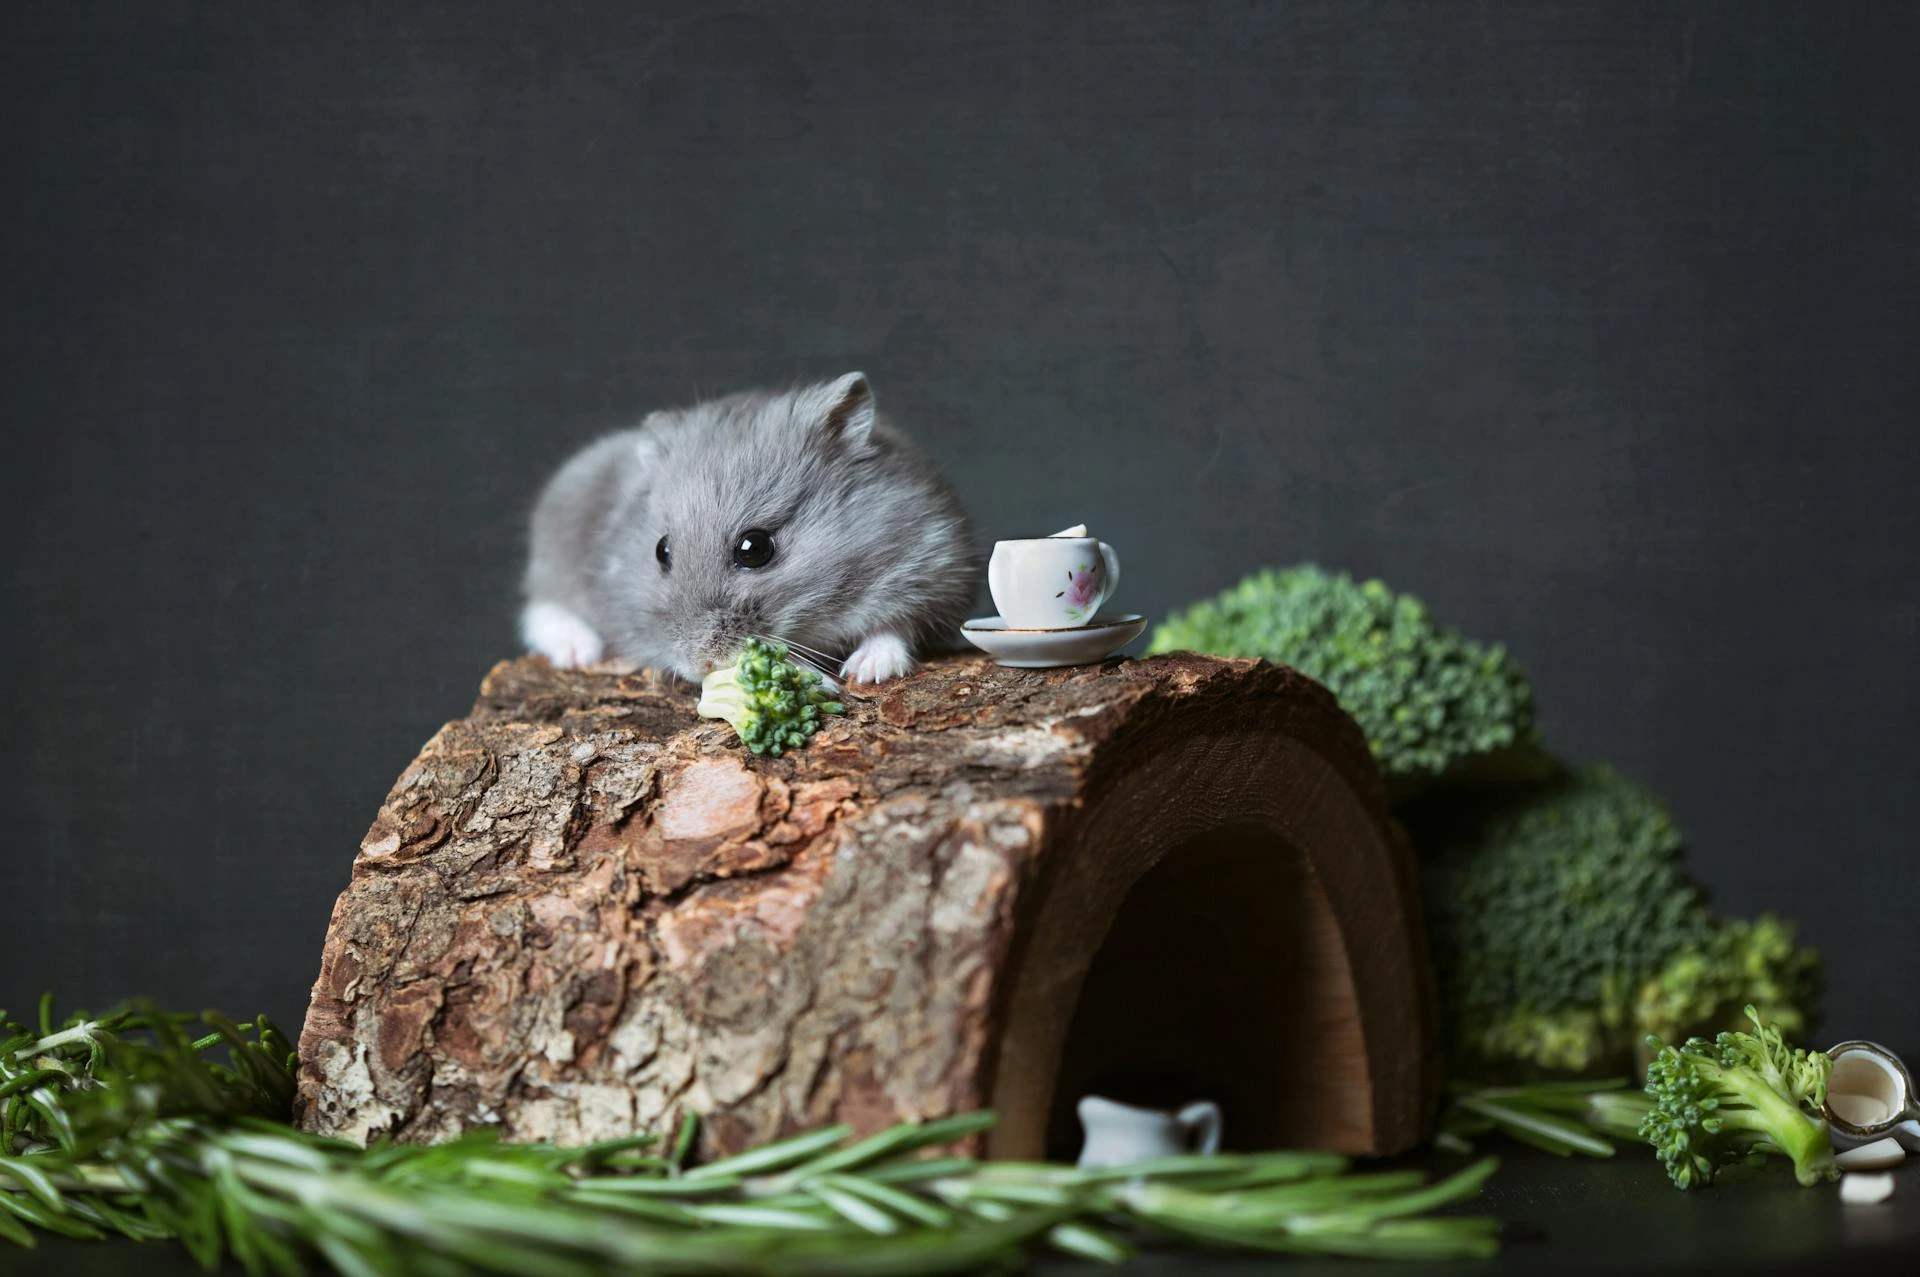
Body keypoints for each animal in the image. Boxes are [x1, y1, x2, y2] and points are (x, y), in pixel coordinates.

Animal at [520, 372, 976, 686]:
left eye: (754, 548)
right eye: (661, 551)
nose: (700, 666)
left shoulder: (933, 565)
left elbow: (895, 626)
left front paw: (866, 672)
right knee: (542, 608)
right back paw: (579, 652)